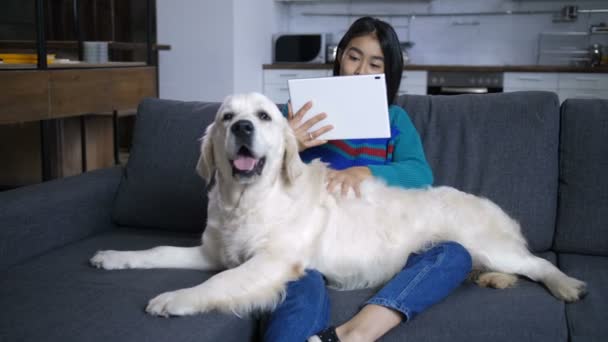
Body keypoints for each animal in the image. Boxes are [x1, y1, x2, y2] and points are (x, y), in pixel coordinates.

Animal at [89, 93, 584, 318]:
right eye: (227, 117)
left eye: (264, 116)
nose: (243, 128)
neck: (249, 200)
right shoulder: (213, 252)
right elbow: (156, 251)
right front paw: (113, 256)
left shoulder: (270, 263)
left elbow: (217, 283)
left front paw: (174, 298)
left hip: (486, 244)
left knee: (537, 264)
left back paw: (566, 285)